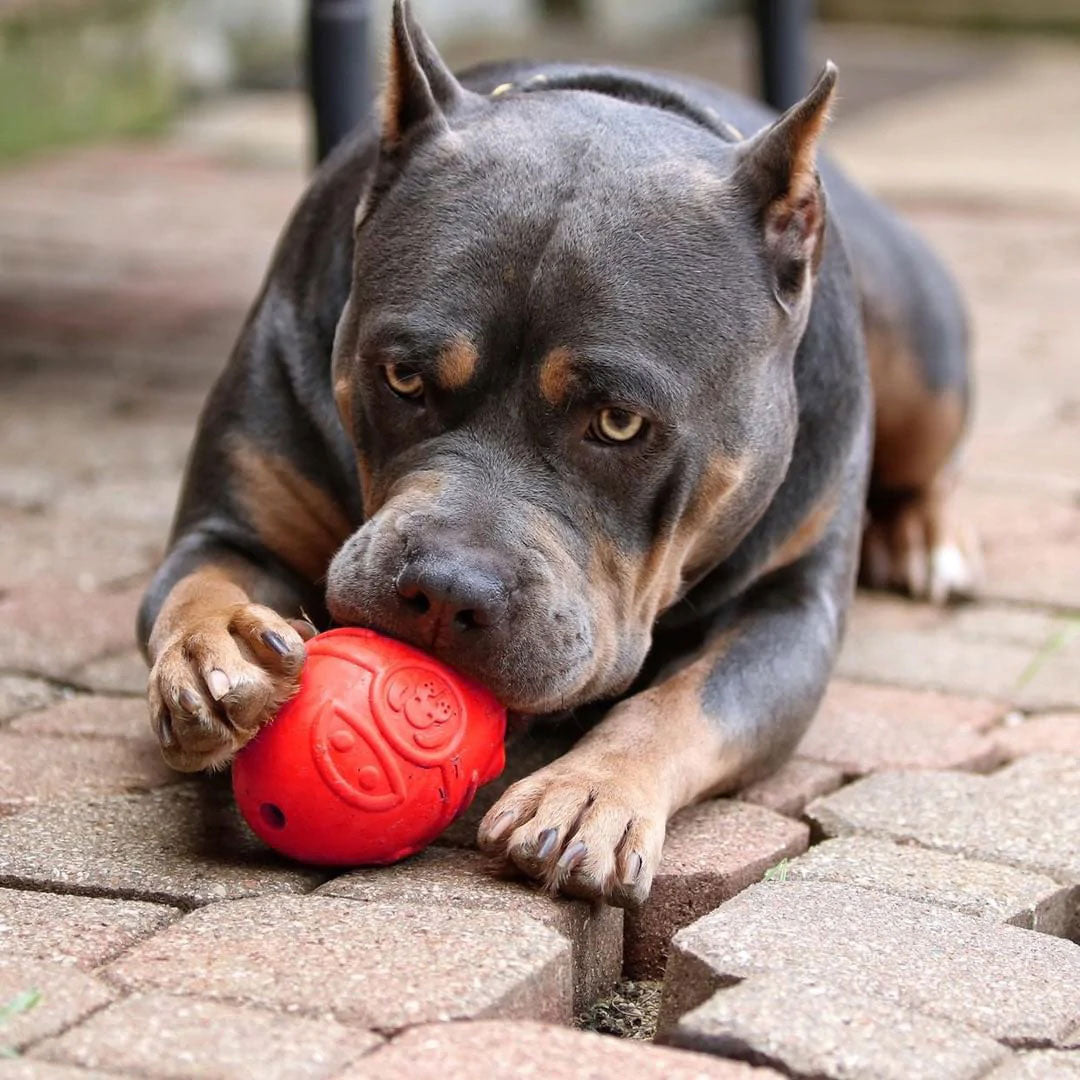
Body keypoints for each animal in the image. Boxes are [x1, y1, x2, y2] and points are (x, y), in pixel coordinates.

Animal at [139, 0, 976, 907]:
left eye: (618, 423)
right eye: (402, 376)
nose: (444, 589)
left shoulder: (791, 612)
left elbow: (684, 701)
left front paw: (591, 792)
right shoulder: (232, 525)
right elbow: (195, 583)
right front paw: (213, 654)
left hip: (922, 363)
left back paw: (929, 538)